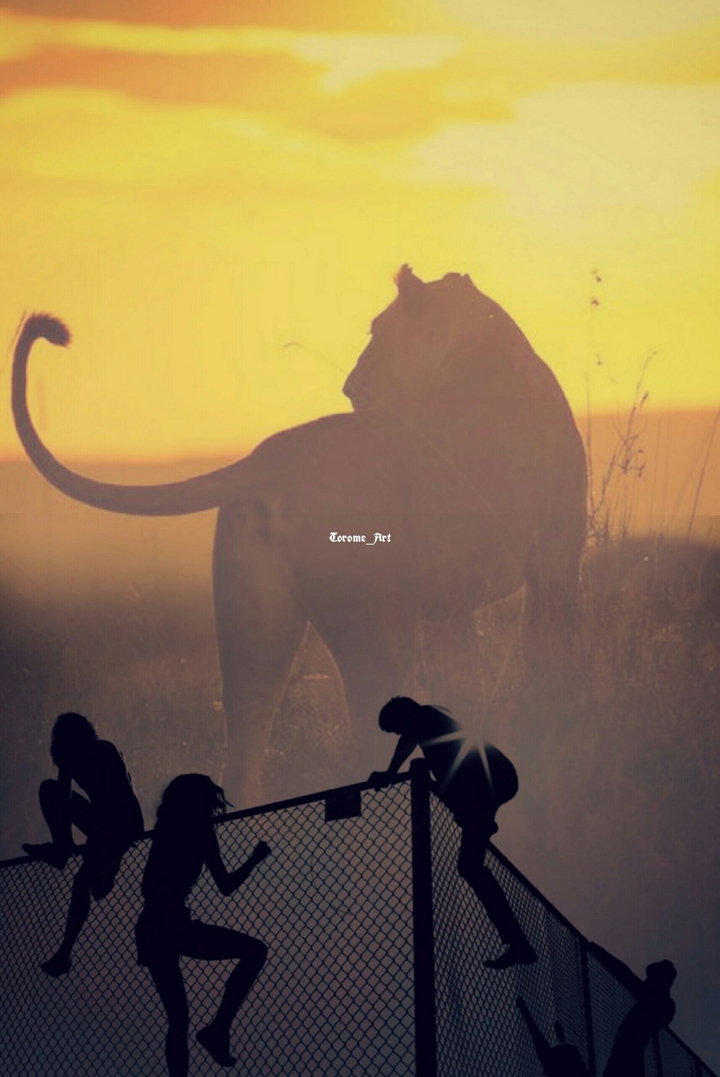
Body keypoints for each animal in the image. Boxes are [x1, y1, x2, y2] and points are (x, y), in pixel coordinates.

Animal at [12, 267, 587, 805]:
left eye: (379, 330)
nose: (350, 387)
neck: (482, 344)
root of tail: (270, 457)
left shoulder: (454, 605)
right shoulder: (556, 556)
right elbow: (548, 656)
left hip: (253, 631)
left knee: (242, 757)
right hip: (374, 623)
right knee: (362, 740)